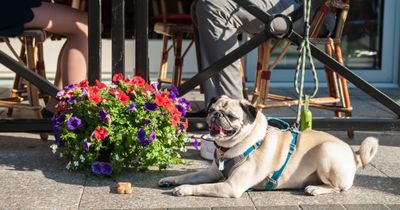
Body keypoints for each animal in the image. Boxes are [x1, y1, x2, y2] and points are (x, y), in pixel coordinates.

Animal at [157, 96, 378, 198]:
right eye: (211, 110)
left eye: (231, 117)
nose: (216, 115)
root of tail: (355, 155)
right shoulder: (213, 173)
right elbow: (190, 175)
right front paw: (172, 180)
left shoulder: (229, 186)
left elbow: (200, 186)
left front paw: (183, 189)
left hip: (326, 152)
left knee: (338, 187)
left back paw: (315, 188)